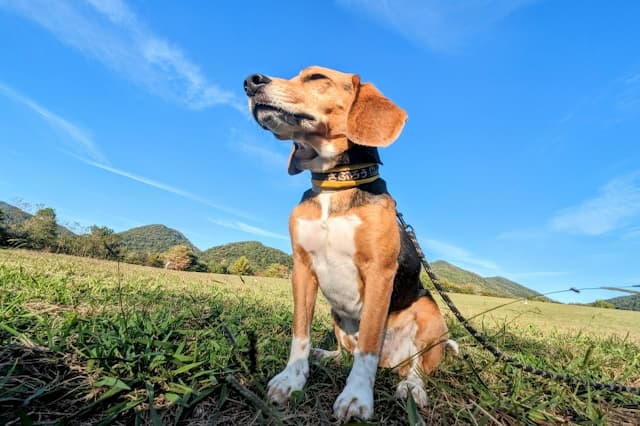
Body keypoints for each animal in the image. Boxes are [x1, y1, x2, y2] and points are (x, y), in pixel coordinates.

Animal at [242, 65, 458, 422]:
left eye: (316, 77)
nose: (250, 82)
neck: (335, 185)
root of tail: (390, 362)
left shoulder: (380, 273)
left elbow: (369, 343)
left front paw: (356, 397)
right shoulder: (302, 268)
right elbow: (300, 333)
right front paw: (292, 379)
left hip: (430, 314)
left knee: (414, 367)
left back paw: (411, 388)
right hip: (337, 315)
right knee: (346, 352)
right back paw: (325, 355)